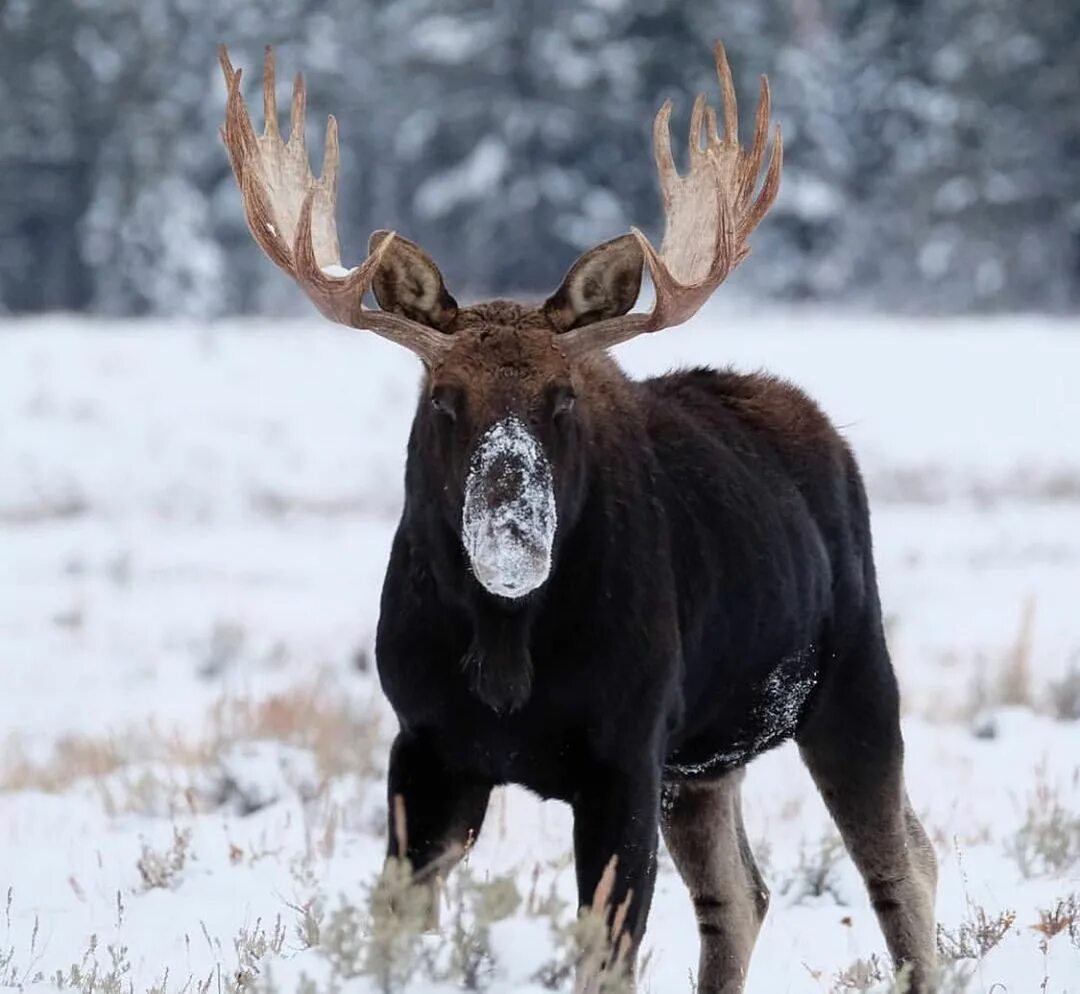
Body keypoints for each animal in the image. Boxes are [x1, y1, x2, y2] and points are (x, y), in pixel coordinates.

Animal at [217, 42, 937, 989]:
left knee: (899, 866)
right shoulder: (427, 744)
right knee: (745, 892)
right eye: (443, 398)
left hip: (853, 680)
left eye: (562, 397)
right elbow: (391, 929)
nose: (511, 536)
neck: (506, 650)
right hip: (703, 763)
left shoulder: (623, 753)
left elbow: (606, 951)